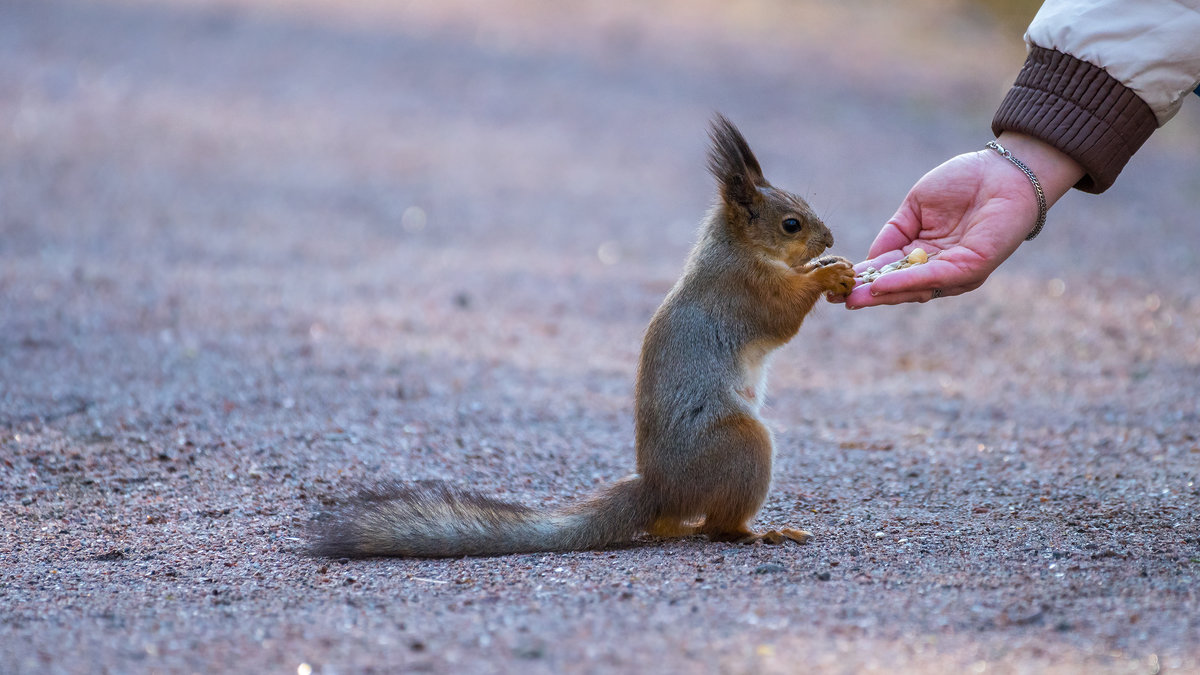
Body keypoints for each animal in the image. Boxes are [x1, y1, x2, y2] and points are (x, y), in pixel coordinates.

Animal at [309, 114, 854, 557]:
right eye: (791, 224)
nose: (829, 239)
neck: (737, 248)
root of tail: (660, 486)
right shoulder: (744, 292)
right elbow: (781, 316)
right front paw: (829, 275)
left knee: (670, 526)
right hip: (741, 448)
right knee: (719, 529)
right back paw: (763, 533)